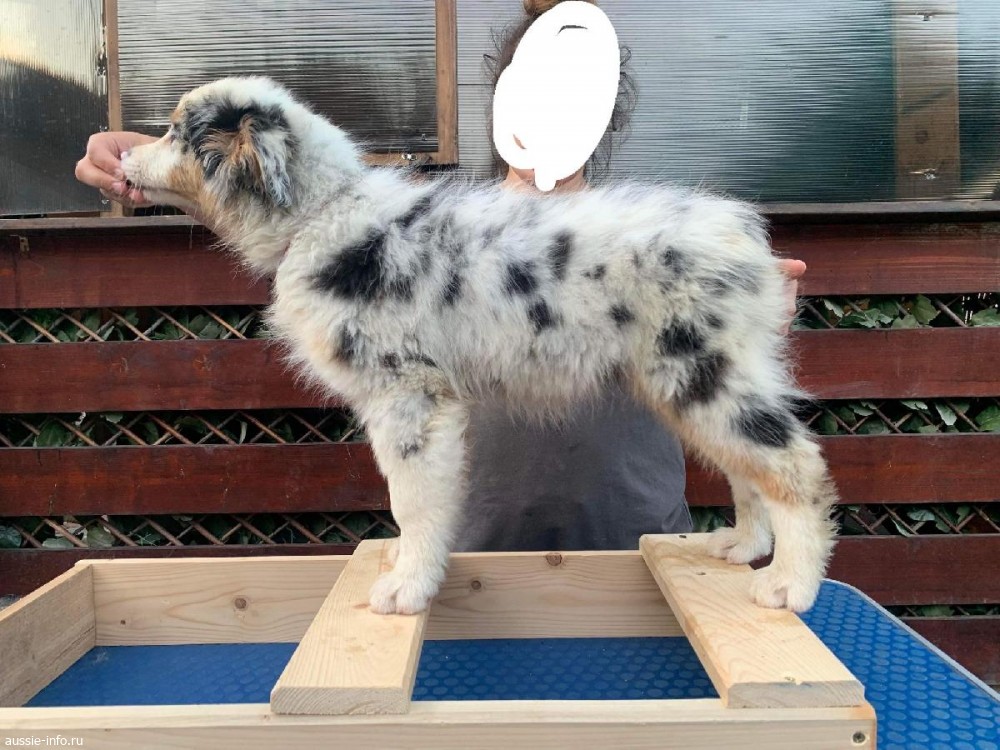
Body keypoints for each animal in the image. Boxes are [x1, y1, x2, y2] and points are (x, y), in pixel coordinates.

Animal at [121, 77, 838, 615]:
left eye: (175, 134)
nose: (121, 157)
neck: (322, 213)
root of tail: (742, 235)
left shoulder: (410, 395)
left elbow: (413, 499)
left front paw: (406, 589)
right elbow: (410, 502)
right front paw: (403, 565)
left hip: (701, 369)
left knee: (794, 465)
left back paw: (789, 585)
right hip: (694, 377)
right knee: (748, 468)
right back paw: (743, 546)